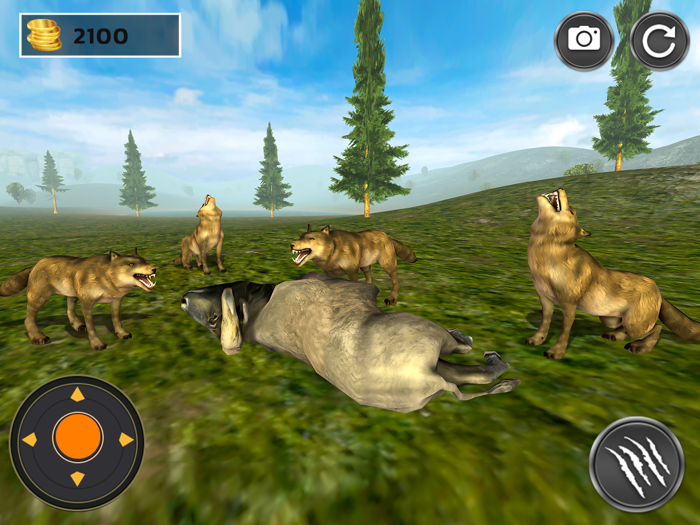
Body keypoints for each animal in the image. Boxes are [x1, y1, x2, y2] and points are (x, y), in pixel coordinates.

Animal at [0, 248, 156, 351]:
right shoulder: (87, 303)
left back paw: (78, 325)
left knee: (69, 310)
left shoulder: (116, 301)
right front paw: (96, 344)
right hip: (40, 298)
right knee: (28, 319)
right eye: (131, 264)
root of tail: (36, 264)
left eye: (145, 261)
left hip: (72, 295)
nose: (154, 269)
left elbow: (117, 320)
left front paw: (122, 334)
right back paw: (37, 337)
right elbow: (92, 327)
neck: (106, 277)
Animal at [180, 273, 520, 413]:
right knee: (465, 356)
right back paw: (492, 359)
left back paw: (504, 377)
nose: (184, 299)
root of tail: (428, 379)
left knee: (470, 375)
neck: (259, 313)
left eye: (213, 319)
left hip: (436, 369)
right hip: (431, 338)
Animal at [527, 188, 700, 359]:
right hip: (609, 319)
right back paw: (614, 336)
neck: (548, 254)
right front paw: (537, 339)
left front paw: (556, 352)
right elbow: (544, 324)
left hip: (634, 324)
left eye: (571, 211)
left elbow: (564, 331)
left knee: (657, 328)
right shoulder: (545, 299)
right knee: (625, 327)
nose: (561, 188)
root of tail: (658, 290)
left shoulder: (569, 305)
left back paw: (640, 347)